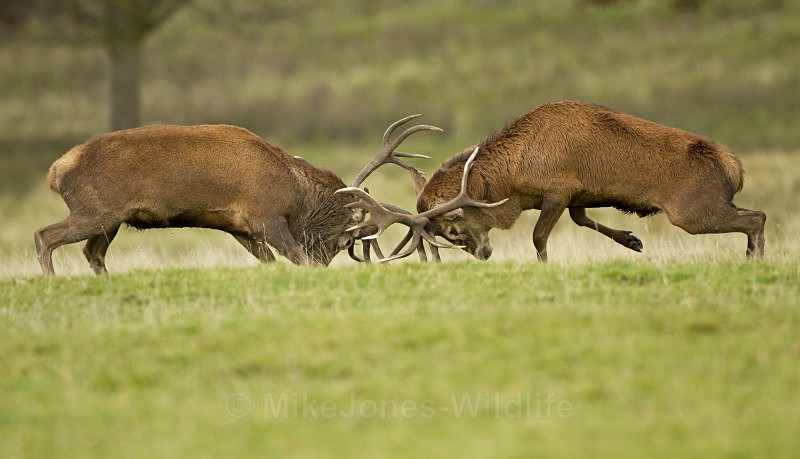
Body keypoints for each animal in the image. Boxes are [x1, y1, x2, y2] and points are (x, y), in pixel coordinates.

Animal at [34, 118, 437, 275]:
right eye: (345, 239)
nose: (323, 265)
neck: (293, 192)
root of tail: (55, 171)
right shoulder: (266, 215)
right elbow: (293, 256)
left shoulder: (240, 227)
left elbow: (268, 262)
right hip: (97, 210)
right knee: (44, 236)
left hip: (111, 220)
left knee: (92, 253)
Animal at [339, 101, 766, 262]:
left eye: (454, 228)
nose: (483, 254)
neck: (512, 181)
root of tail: (735, 167)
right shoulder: (577, 194)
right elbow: (583, 219)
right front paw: (631, 240)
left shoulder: (557, 189)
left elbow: (539, 237)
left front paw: (545, 266)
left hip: (691, 211)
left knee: (756, 217)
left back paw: (754, 259)